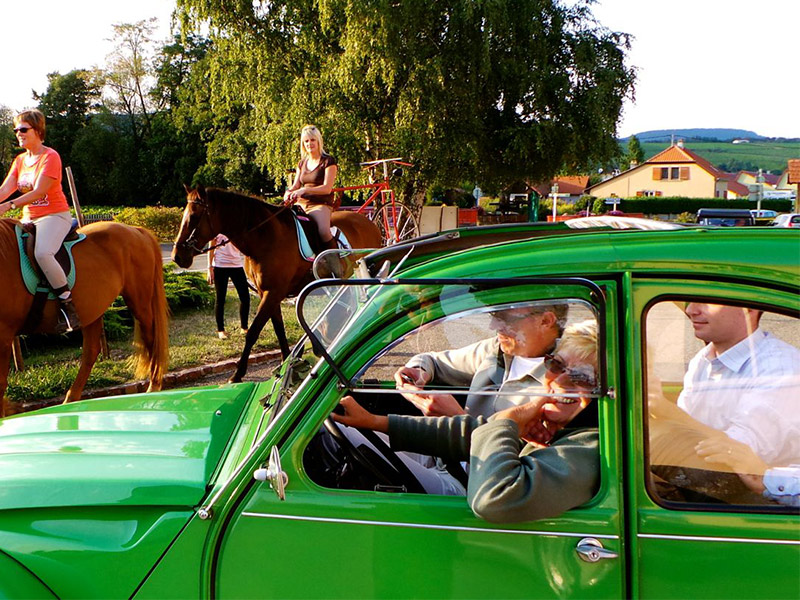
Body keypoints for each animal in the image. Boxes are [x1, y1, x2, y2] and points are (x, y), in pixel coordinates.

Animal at [0, 218, 169, 420]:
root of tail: (136, 230)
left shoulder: (3, 335)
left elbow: (0, 382)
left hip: (139, 301)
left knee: (151, 338)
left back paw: (154, 386)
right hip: (92, 309)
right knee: (91, 352)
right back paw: (70, 401)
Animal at [171, 185, 382, 380]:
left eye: (194, 216)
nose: (177, 256)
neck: (265, 237)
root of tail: (370, 223)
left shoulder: (273, 293)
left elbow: (253, 331)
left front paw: (238, 373)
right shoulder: (267, 293)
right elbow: (279, 329)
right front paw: (287, 361)